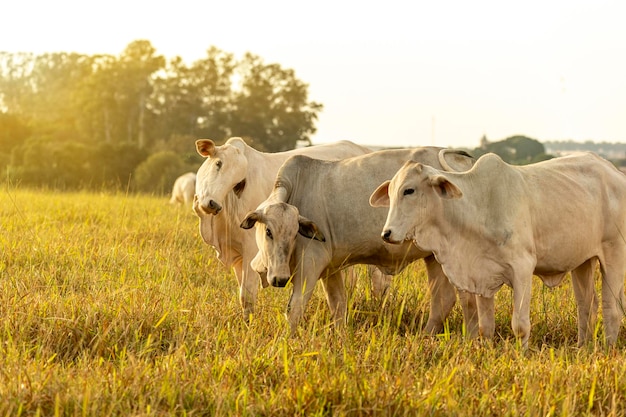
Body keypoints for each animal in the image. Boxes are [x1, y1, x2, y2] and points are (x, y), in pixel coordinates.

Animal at [193, 136, 372, 318]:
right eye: (218, 163)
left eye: (239, 182)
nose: (213, 204)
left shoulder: (251, 249)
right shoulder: (237, 256)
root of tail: (362, 149)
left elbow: (247, 295)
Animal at [241, 148, 476, 334]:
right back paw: (426, 336)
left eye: (294, 233)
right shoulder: (331, 270)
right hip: (434, 258)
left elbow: (295, 306)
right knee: (443, 300)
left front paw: (285, 340)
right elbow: (338, 305)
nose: (280, 279)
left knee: (469, 300)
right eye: (268, 231)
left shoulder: (311, 262)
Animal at [370, 152, 624, 348]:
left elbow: (520, 325)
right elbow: (486, 327)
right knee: (587, 306)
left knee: (611, 308)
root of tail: (616, 173)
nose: (386, 233)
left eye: (409, 190)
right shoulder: (481, 276)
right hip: (583, 262)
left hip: (614, 254)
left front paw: (522, 355)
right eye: (390, 192)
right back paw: (583, 348)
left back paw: (607, 350)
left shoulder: (522, 268)